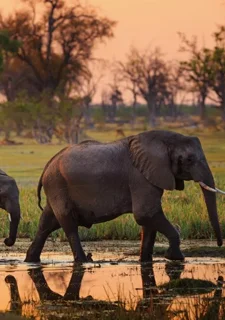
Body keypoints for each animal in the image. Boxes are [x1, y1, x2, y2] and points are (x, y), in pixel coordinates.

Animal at [25, 129, 223, 262]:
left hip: (55, 187)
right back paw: (84, 261)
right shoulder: (140, 176)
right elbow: (145, 214)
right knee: (68, 223)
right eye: (189, 159)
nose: (220, 245)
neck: (165, 140)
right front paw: (176, 258)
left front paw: (146, 261)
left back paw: (31, 260)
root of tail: (48, 164)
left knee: (47, 223)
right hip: (57, 184)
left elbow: (148, 220)